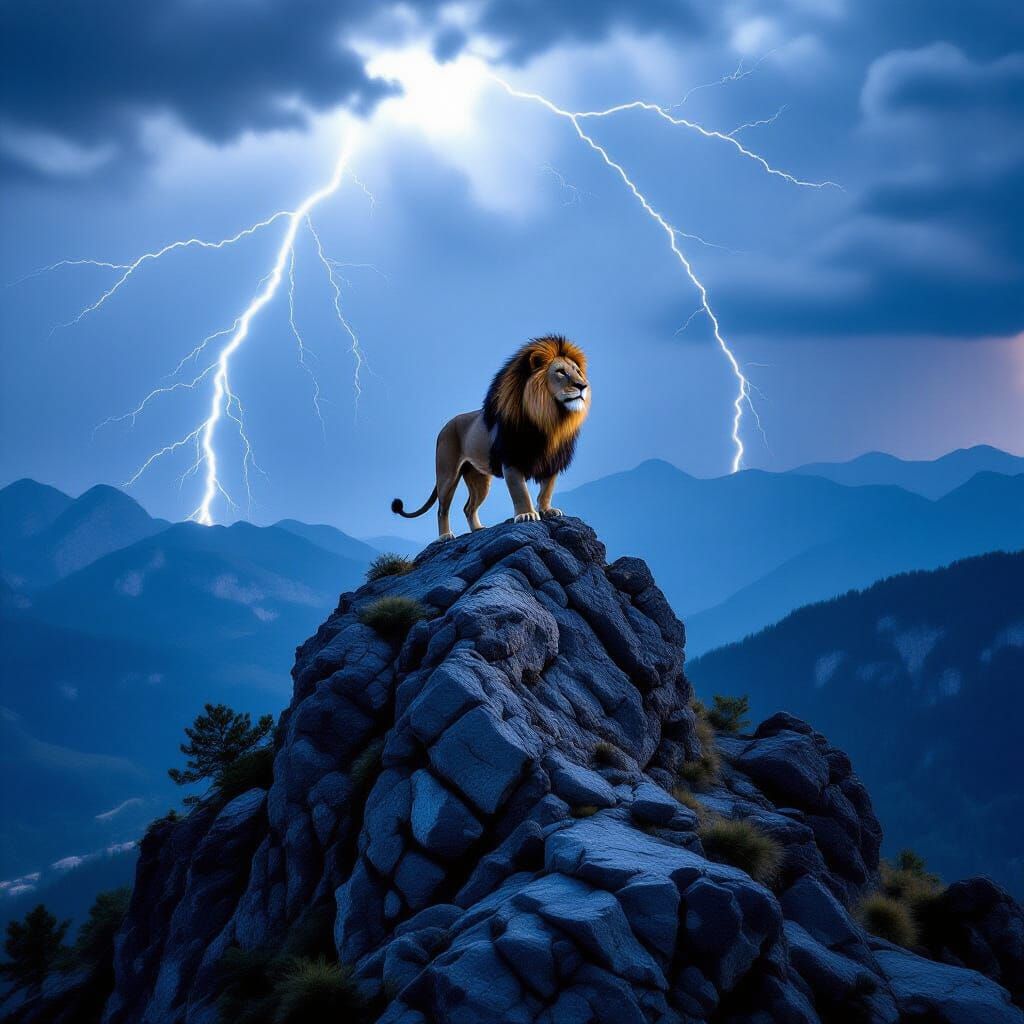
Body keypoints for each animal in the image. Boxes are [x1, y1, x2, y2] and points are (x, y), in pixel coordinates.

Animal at [392, 335, 591, 540]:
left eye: (577, 372)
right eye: (560, 372)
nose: (583, 386)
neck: (551, 420)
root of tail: (444, 427)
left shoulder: (553, 462)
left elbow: (547, 490)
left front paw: (547, 510)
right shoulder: (511, 461)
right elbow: (521, 491)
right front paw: (526, 514)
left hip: (478, 477)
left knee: (468, 507)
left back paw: (478, 529)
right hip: (447, 474)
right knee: (442, 509)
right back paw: (445, 536)